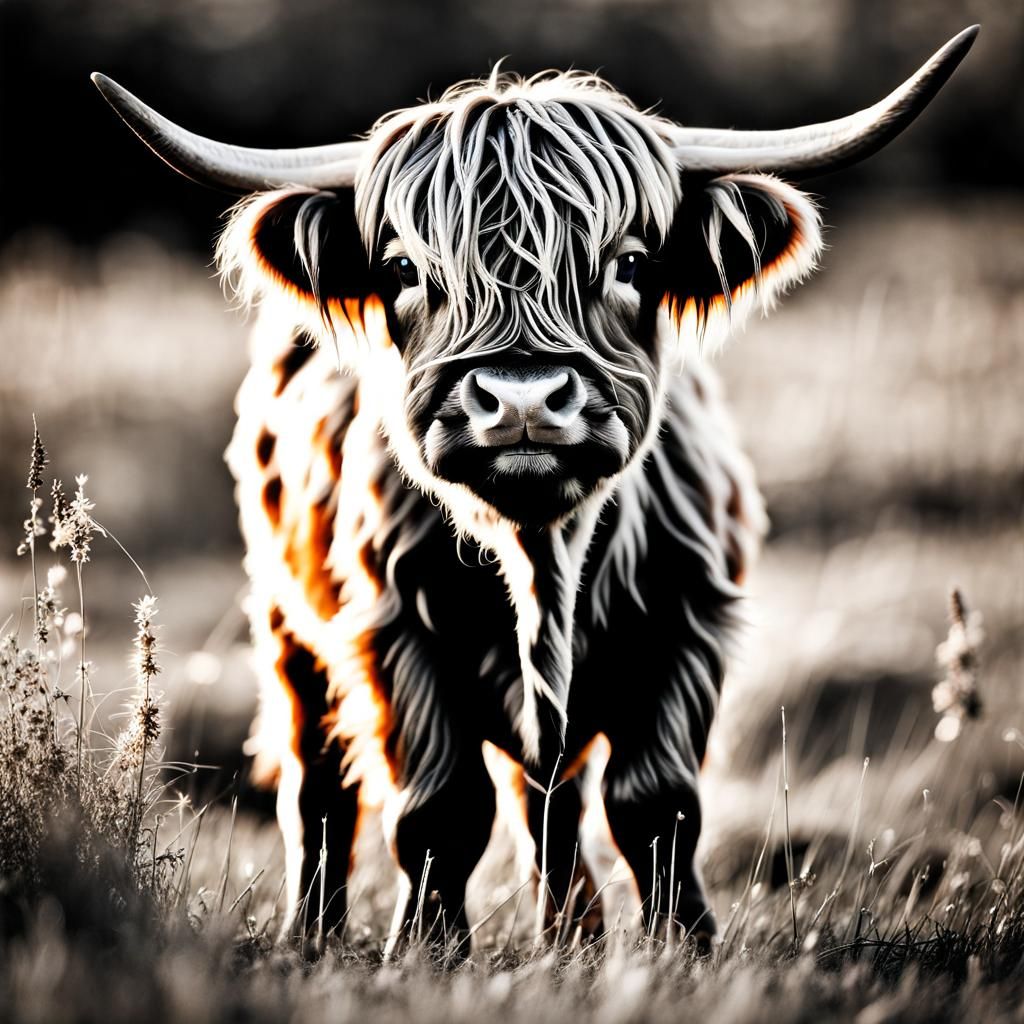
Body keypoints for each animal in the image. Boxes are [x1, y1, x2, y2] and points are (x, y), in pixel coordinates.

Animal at [94, 26, 977, 953]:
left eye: (631, 262)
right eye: (404, 268)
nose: (521, 400)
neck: (539, 555)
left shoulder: (686, 625)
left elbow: (655, 804)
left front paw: (681, 944)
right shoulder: (395, 637)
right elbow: (440, 811)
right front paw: (429, 949)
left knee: (551, 801)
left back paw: (573, 935)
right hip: (287, 628)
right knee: (320, 788)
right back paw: (314, 933)